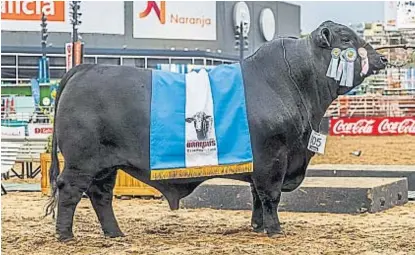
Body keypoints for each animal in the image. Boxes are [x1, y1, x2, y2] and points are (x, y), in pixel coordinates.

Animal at [47, 20, 388, 241]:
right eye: (346, 40)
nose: (383, 57)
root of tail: (87, 67)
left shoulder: (262, 162)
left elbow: (256, 196)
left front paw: (257, 226)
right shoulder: (274, 157)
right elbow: (271, 195)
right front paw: (275, 230)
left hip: (106, 165)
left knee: (100, 195)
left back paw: (115, 234)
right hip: (81, 161)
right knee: (70, 190)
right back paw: (66, 236)